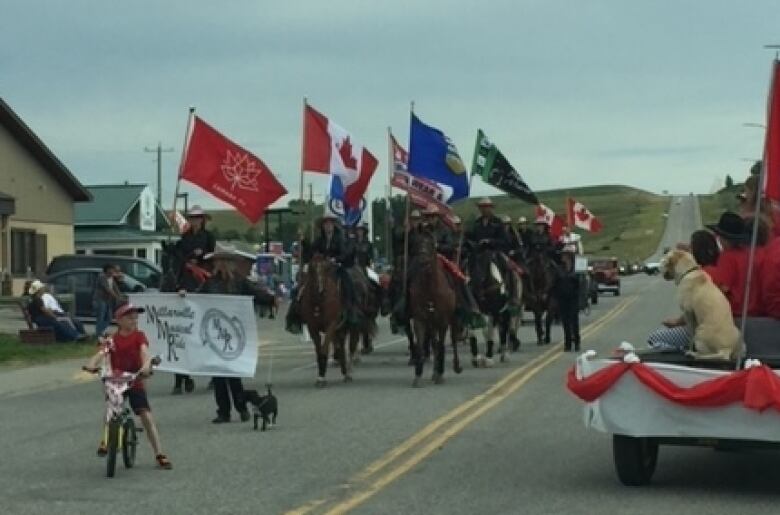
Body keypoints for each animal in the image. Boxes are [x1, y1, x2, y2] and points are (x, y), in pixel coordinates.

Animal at [406, 231, 460, 388]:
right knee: (434, 343)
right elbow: (421, 346)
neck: (430, 288)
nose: (423, 261)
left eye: (431, 243)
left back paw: (455, 366)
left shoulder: (443, 321)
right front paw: (418, 376)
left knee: (453, 339)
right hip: (431, 324)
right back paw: (435, 371)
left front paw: (440, 374)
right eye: (416, 242)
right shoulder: (420, 320)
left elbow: (441, 345)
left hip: (451, 319)